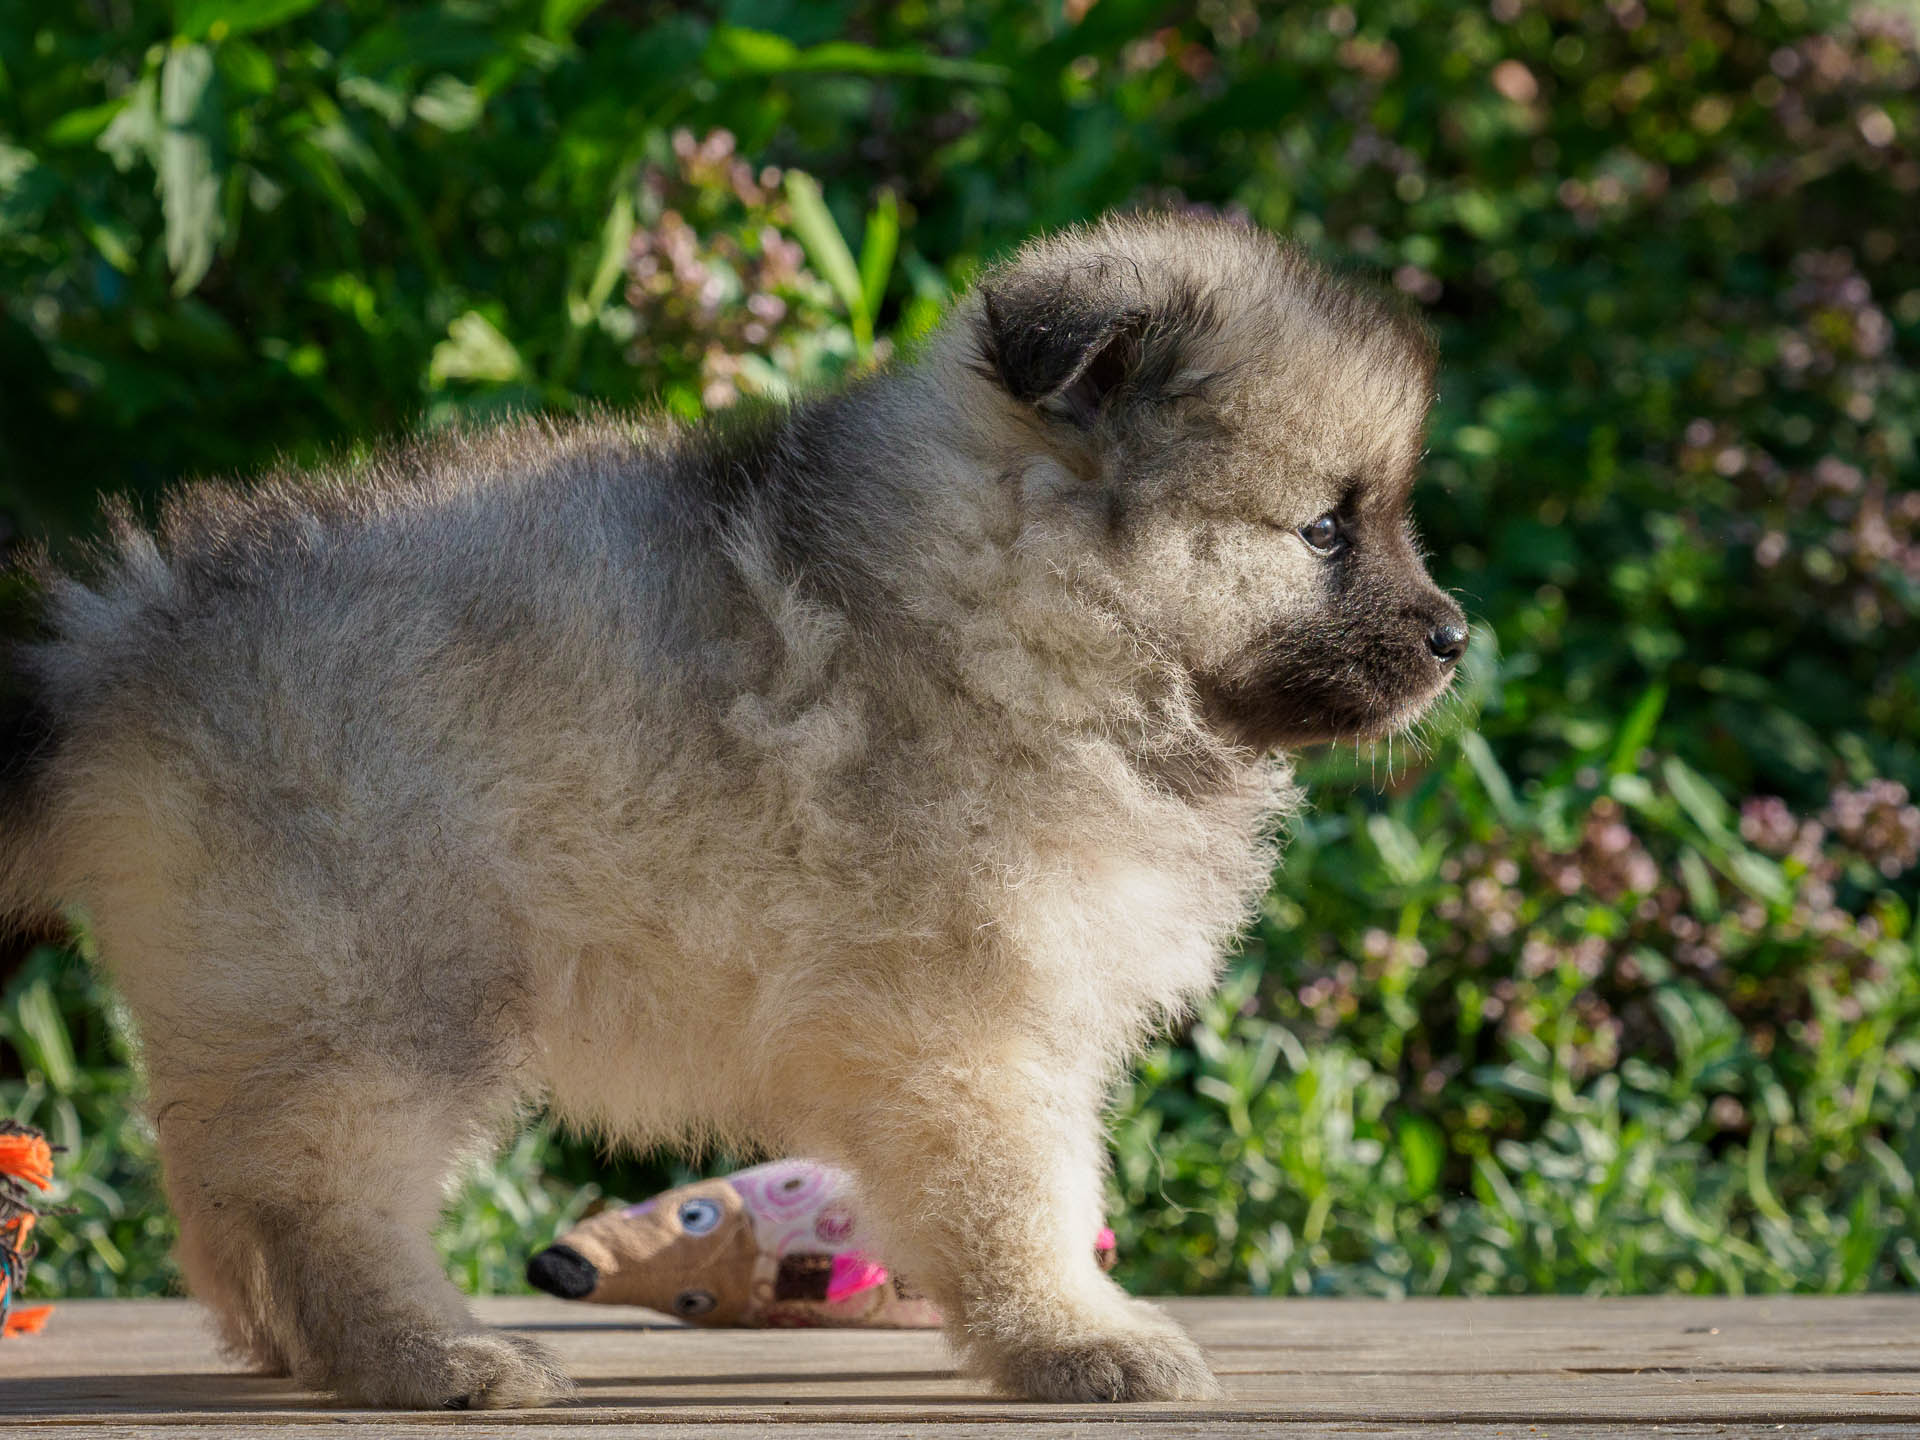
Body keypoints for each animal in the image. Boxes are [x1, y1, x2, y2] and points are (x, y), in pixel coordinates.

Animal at [0, 211, 1459, 1413]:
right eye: (1327, 529)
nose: (1455, 637)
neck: (1014, 597)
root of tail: (115, 647)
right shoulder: (967, 1023)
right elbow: (1027, 1196)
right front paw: (1076, 1336)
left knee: (222, 1199)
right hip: (376, 998)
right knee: (315, 1202)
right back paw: (434, 1357)